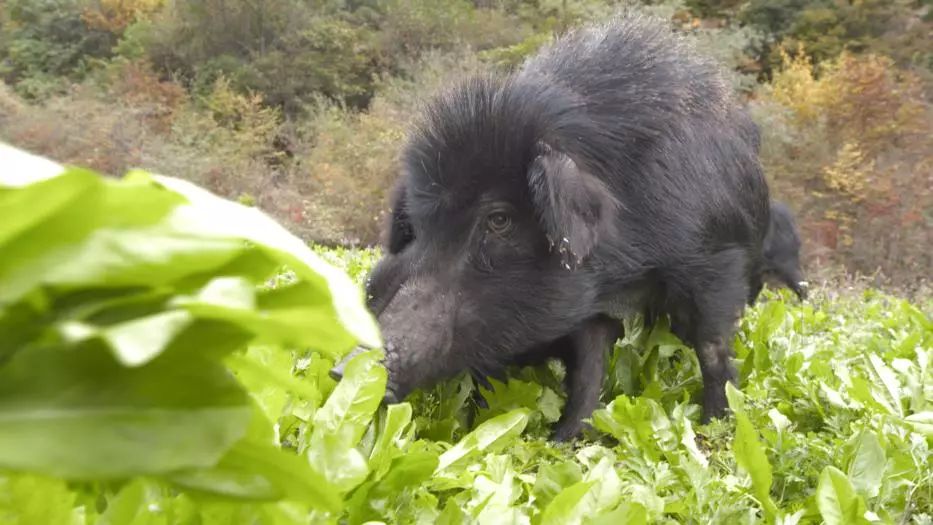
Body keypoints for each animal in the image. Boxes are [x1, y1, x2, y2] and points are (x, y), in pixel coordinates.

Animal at [332, 15, 768, 438]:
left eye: (499, 219)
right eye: (418, 227)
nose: (342, 368)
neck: (623, 273)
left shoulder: (716, 259)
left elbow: (712, 348)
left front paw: (716, 425)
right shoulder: (590, 308)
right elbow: (588, 371)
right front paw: (561, 437)